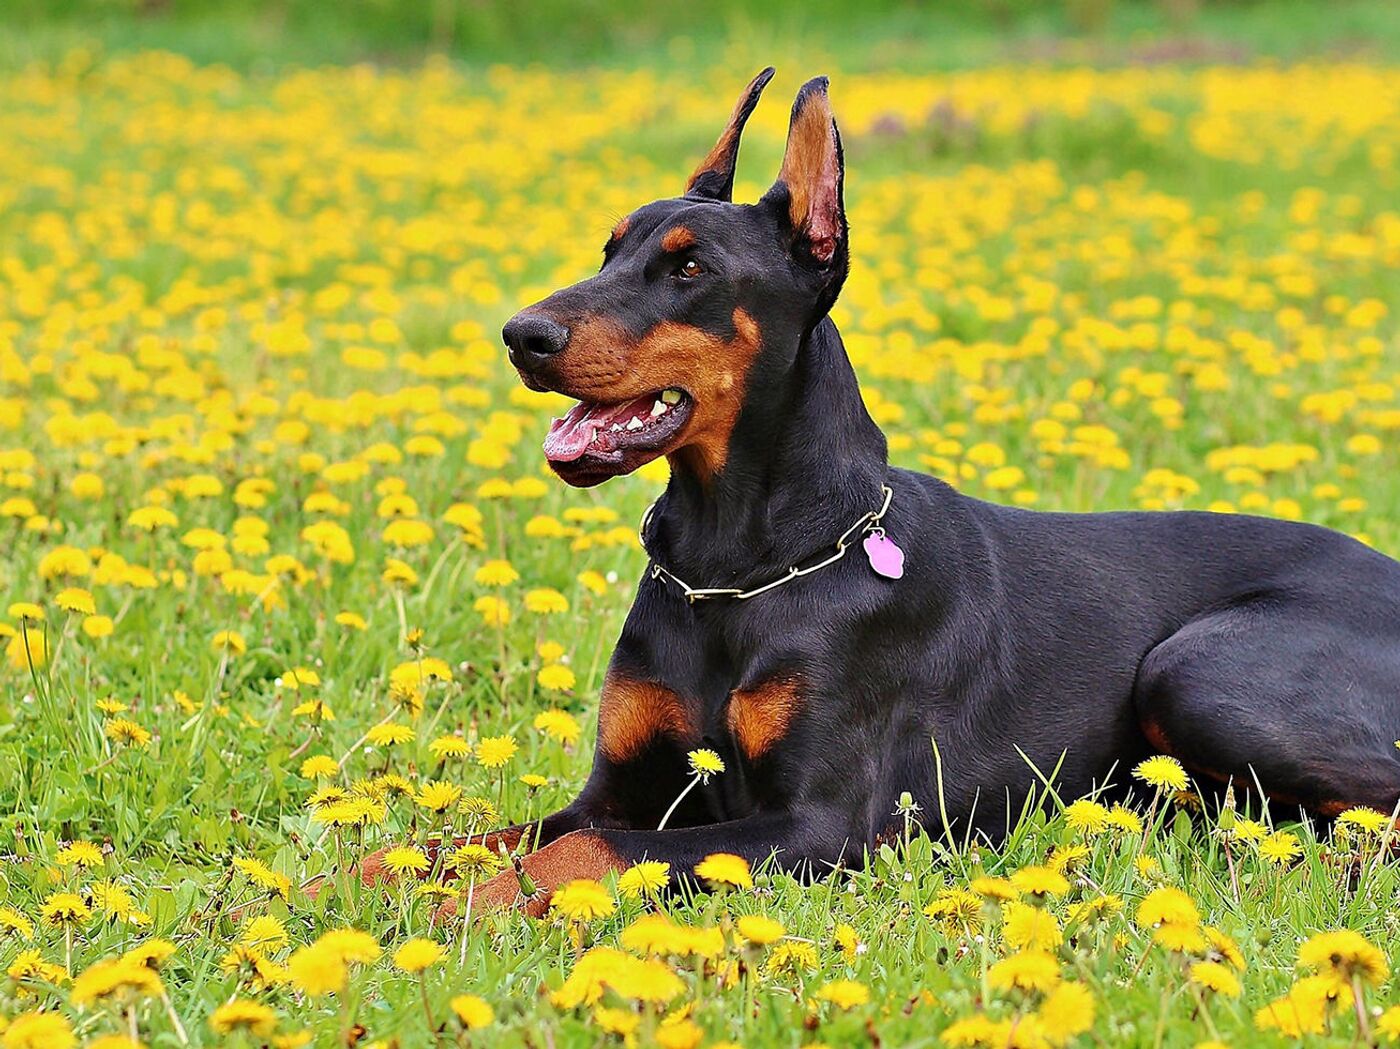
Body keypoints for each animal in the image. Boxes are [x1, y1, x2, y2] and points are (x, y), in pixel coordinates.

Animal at [408, 71, 1394, 907]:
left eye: (689, 268)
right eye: (609, 249)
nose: (521, 334)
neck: (735, 564)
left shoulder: (816, 825)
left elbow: (573, 855)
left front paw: (454, 912)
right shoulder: (619, 788)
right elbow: (454, 840)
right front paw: (383, 888)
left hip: (1193, 672)